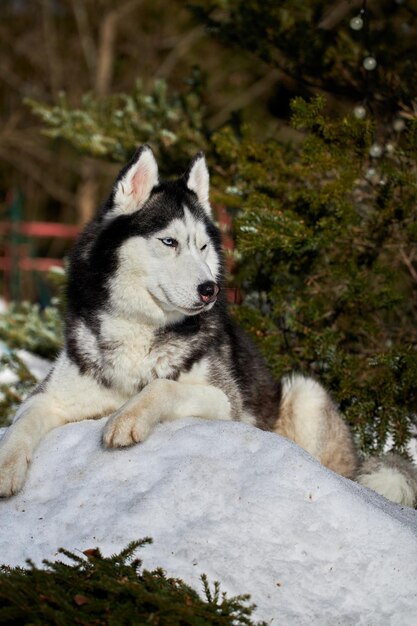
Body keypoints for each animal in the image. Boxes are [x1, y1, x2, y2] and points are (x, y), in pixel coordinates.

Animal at [0, 147, 416, 508]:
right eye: (169, 241)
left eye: (202, 247)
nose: (210, 289)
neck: (141, 331)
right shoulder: (49, 396)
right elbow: (21, 423)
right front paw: (6, 469)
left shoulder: (226, 401)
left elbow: (161, 387)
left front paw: (129, 416)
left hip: (305, 394)